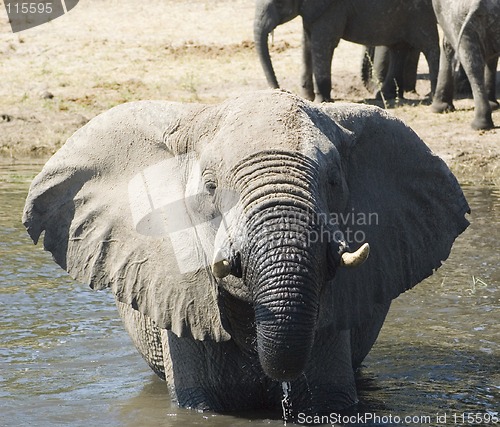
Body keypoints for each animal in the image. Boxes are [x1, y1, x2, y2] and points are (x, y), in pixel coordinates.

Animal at [256, 0, 440, 103]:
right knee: (399, 49)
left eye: (279, 3)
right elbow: (307, 43)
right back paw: (387, 96)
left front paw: (322, 101)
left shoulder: (332, 9)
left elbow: (322, 44)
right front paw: (308, 98)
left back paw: (432, 96)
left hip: (421, 13)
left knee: (429, 46)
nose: (279, 90)